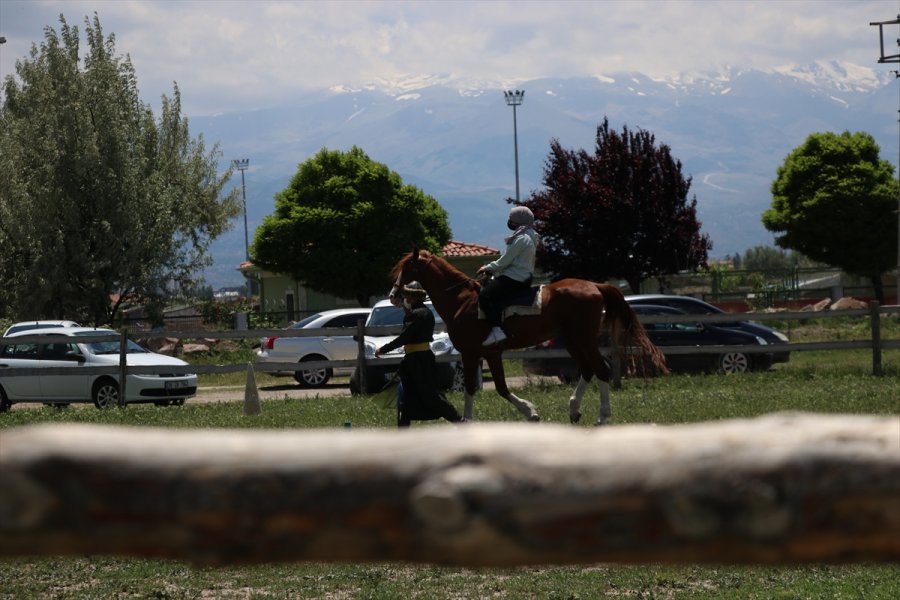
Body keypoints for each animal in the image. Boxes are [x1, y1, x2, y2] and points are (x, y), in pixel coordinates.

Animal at [388, 251, 668, 424]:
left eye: (407, 268)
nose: (393, 295)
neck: (461, 301)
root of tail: (594, 285)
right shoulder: (491, 353)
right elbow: (501, 387)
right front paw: (530, 412)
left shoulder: (470, 353)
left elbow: (471, 387)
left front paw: (467, 420)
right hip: (573, 341)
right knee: (588, 370)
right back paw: (574, 409)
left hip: (583, 339)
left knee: (601, 369)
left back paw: (602, 416)